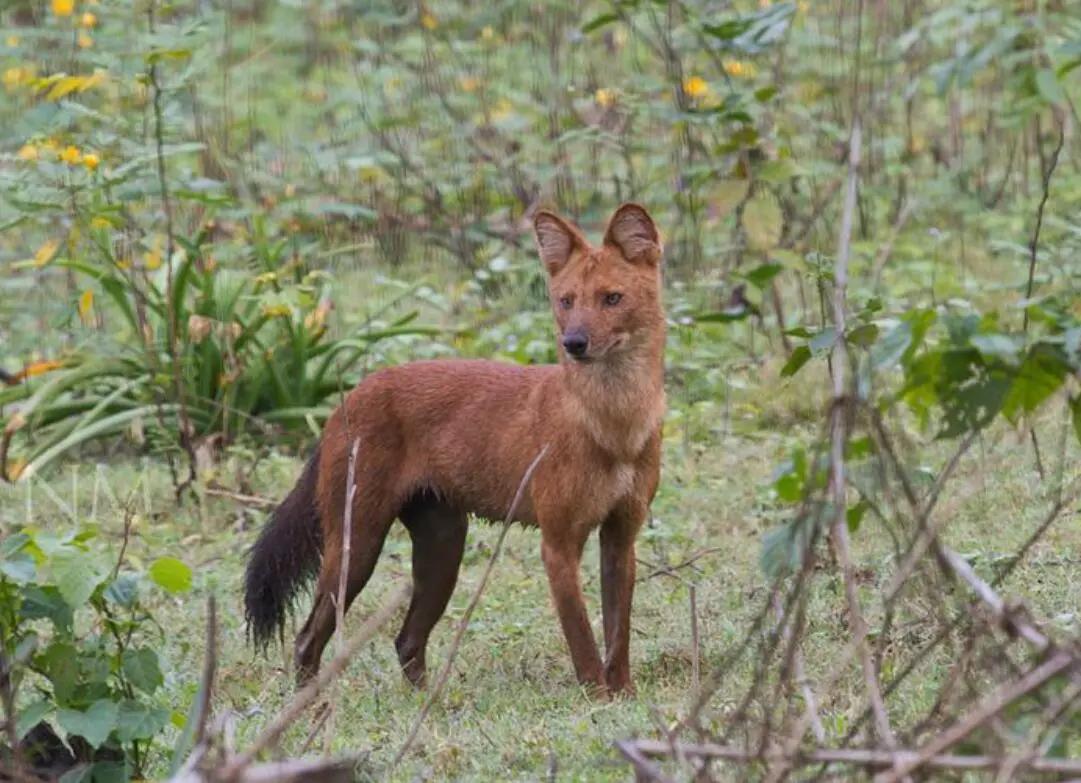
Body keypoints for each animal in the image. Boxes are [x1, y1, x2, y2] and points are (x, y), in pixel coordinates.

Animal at [247, 203, 665, 696]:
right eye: (566, 301)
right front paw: (597, 698)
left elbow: (618, 635)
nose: (574, 343)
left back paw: (429, 702)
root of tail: (347, 400)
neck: (614, 424)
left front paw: (625, 696)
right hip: (358, 545)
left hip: (444, 545)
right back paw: (311, 705)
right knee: (308, 637)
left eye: (612, 299)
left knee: (406, 639)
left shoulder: (621, 535)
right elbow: (581, 636)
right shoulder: (558, 543)